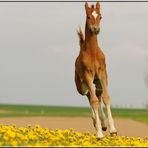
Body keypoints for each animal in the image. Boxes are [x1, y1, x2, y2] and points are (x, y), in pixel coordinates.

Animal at [74, 1, 117, 139]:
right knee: (89, 96)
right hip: (81, 86)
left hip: (97, 82)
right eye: (88, 16)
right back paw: (97, 123)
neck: (92, 52)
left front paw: (113, 130)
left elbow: (106, 97)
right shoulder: (87, 74)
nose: (95, 29)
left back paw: (103, 124)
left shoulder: (102, 73)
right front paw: (99, 134)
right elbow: (93, 101)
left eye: (100, 16)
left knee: (97, 94)